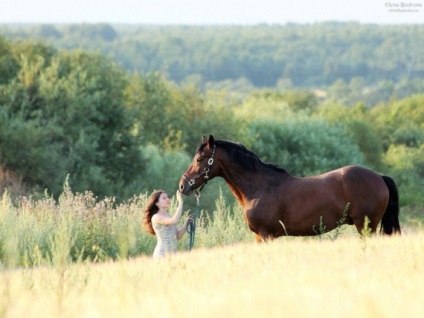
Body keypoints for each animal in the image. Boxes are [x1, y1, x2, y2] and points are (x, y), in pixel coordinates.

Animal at [179, 134, 400, 241]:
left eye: (199, 159)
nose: (182, 186)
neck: (259, 188)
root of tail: (379, 177)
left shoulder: (266, 234)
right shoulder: (260, 236)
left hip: (366, 226)